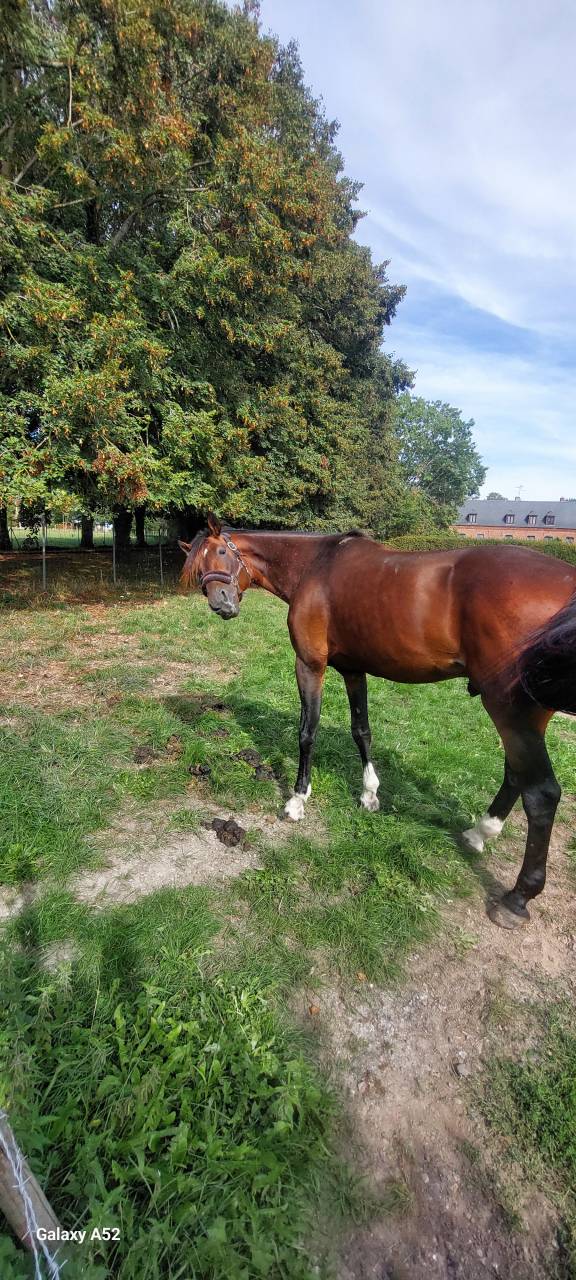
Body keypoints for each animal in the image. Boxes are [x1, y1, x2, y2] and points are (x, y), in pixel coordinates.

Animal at [180, 515, 576, 930]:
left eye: (221, 552)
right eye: (199, 567)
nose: (221, 604)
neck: (315, 566)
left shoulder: (311, 665)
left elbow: (308, 731)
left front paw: (297, 800)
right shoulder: (354, 670)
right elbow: (361, 731)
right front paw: (369, 794)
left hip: (509, 709)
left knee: (542, 794)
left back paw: (517, 897)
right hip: (528, 714)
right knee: (517, 774)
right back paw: (480, 833)